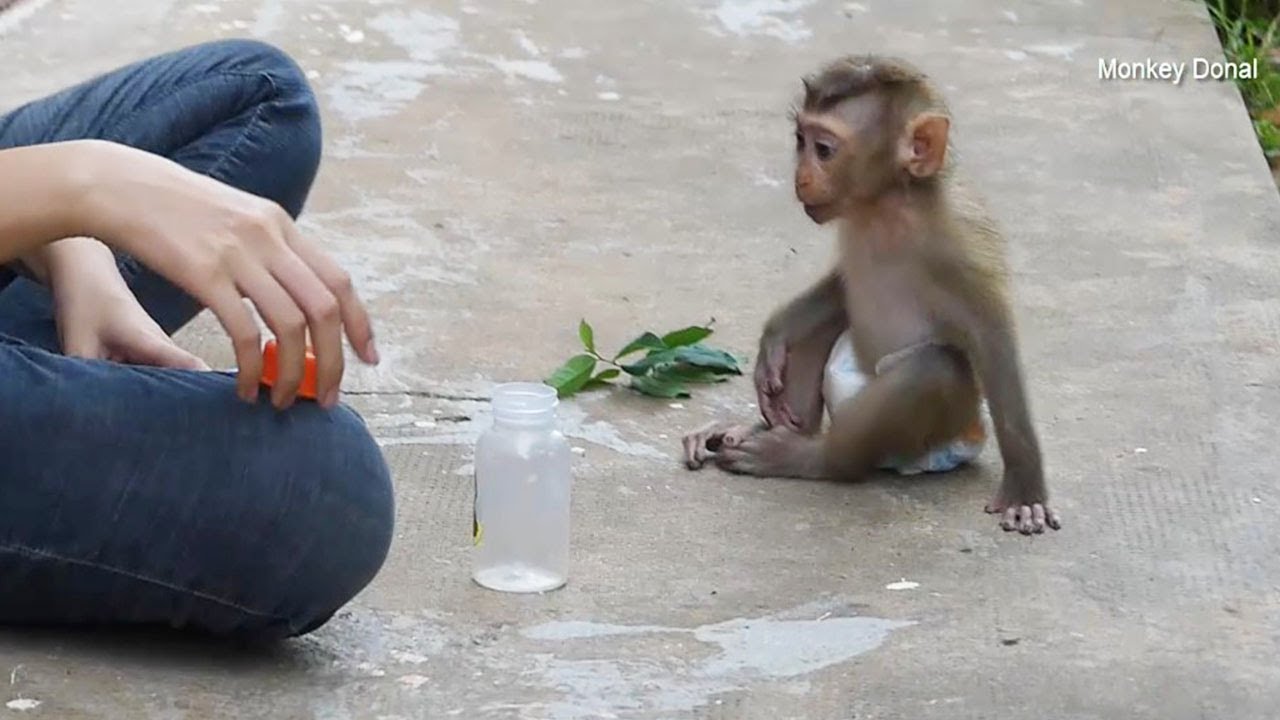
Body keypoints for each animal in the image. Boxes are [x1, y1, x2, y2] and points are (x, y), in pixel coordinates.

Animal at [682, 55, 1060, 535]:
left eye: (824, 150)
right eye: (800, 140)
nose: (801, 177)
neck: (886, 205)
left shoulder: (961, 242)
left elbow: (992, 338)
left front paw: (1026, 487)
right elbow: (840, 285)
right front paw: (777, 332)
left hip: (941, 440)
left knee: (933, 369)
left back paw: (814, 458)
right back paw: (771, 430)